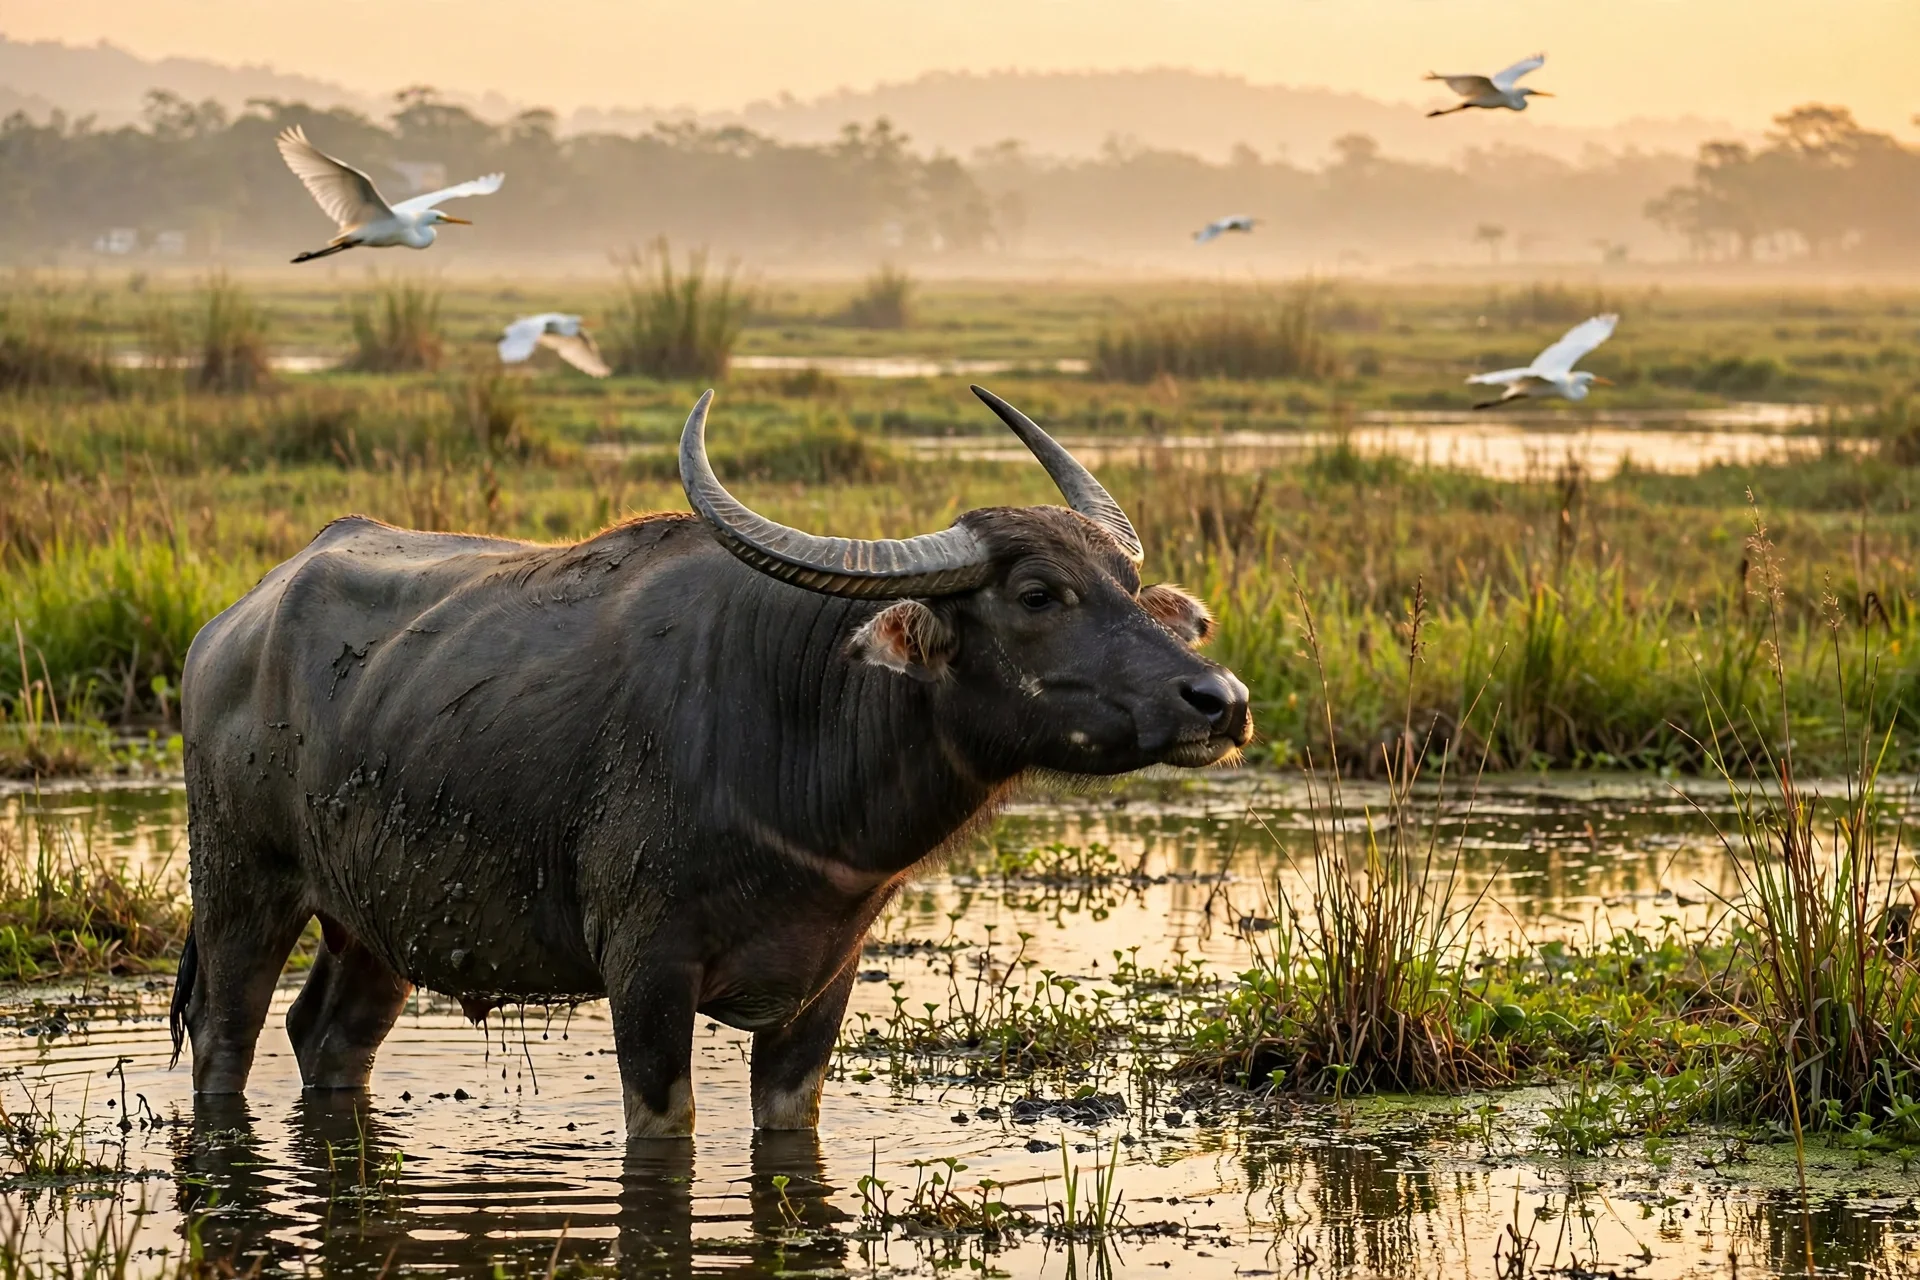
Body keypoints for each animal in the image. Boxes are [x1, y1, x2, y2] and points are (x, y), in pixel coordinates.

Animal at [171, 386, 1252, 1137]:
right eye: (1036, 594)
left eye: (1128, 586)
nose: (1222, 701)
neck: (796, 738)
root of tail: (228, 629)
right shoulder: (645, 968)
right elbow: (668, 1128)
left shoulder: (825, 984)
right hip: (239, 887)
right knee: (225, 1042)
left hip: (375, 922)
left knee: (327, 1036)